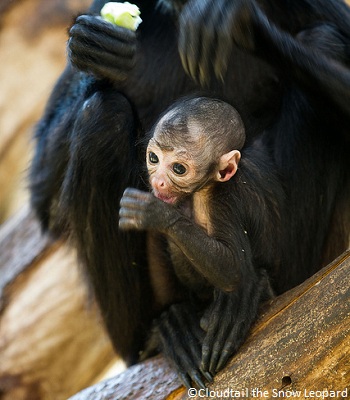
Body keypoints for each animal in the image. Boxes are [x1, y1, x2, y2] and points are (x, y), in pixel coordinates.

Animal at [30, 0, 350, 388]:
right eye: (154, 159)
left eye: (180, 169)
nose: (161, 184)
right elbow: (45, 204)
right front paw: (93, 48)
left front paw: (235, 20)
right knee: (102, 114)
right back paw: (163, 330)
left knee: (324, 36)